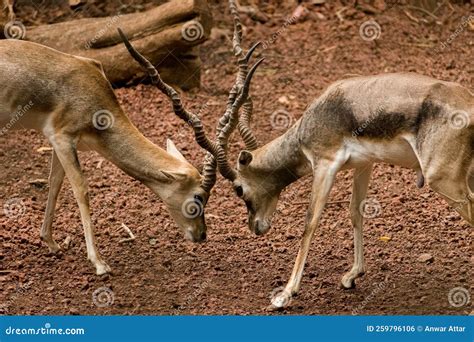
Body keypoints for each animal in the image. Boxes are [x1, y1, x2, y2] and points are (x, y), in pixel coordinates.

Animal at [0, 26, 260, 276]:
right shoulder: (63, 139)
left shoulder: (58, 141)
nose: (201, 235)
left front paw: (50, 242)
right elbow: (81, 190)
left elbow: (55, 183)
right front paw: (99, 263)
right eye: (198, 197)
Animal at [217, 0, 472, 310]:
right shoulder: (365, 165)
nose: (255, 227)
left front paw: (285, 293)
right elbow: (355, 211)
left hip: (445, 181)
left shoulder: (325, 165)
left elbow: (310, 221)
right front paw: (352, 275)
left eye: (238, 189)